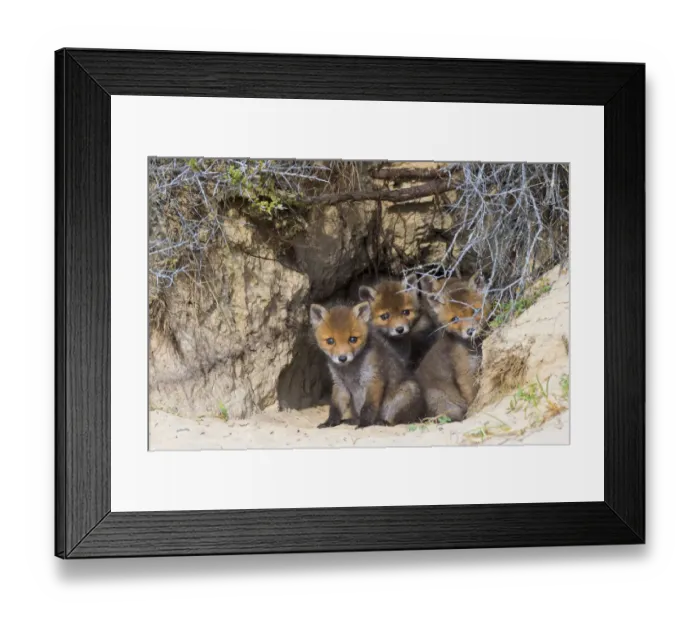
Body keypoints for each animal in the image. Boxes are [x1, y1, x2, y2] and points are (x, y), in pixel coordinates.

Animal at [415, 273, 489, 422]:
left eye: (475, 311)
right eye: (455, 319)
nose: (470, 331)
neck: (474, 347)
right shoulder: (465, 372)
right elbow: (472, 397)